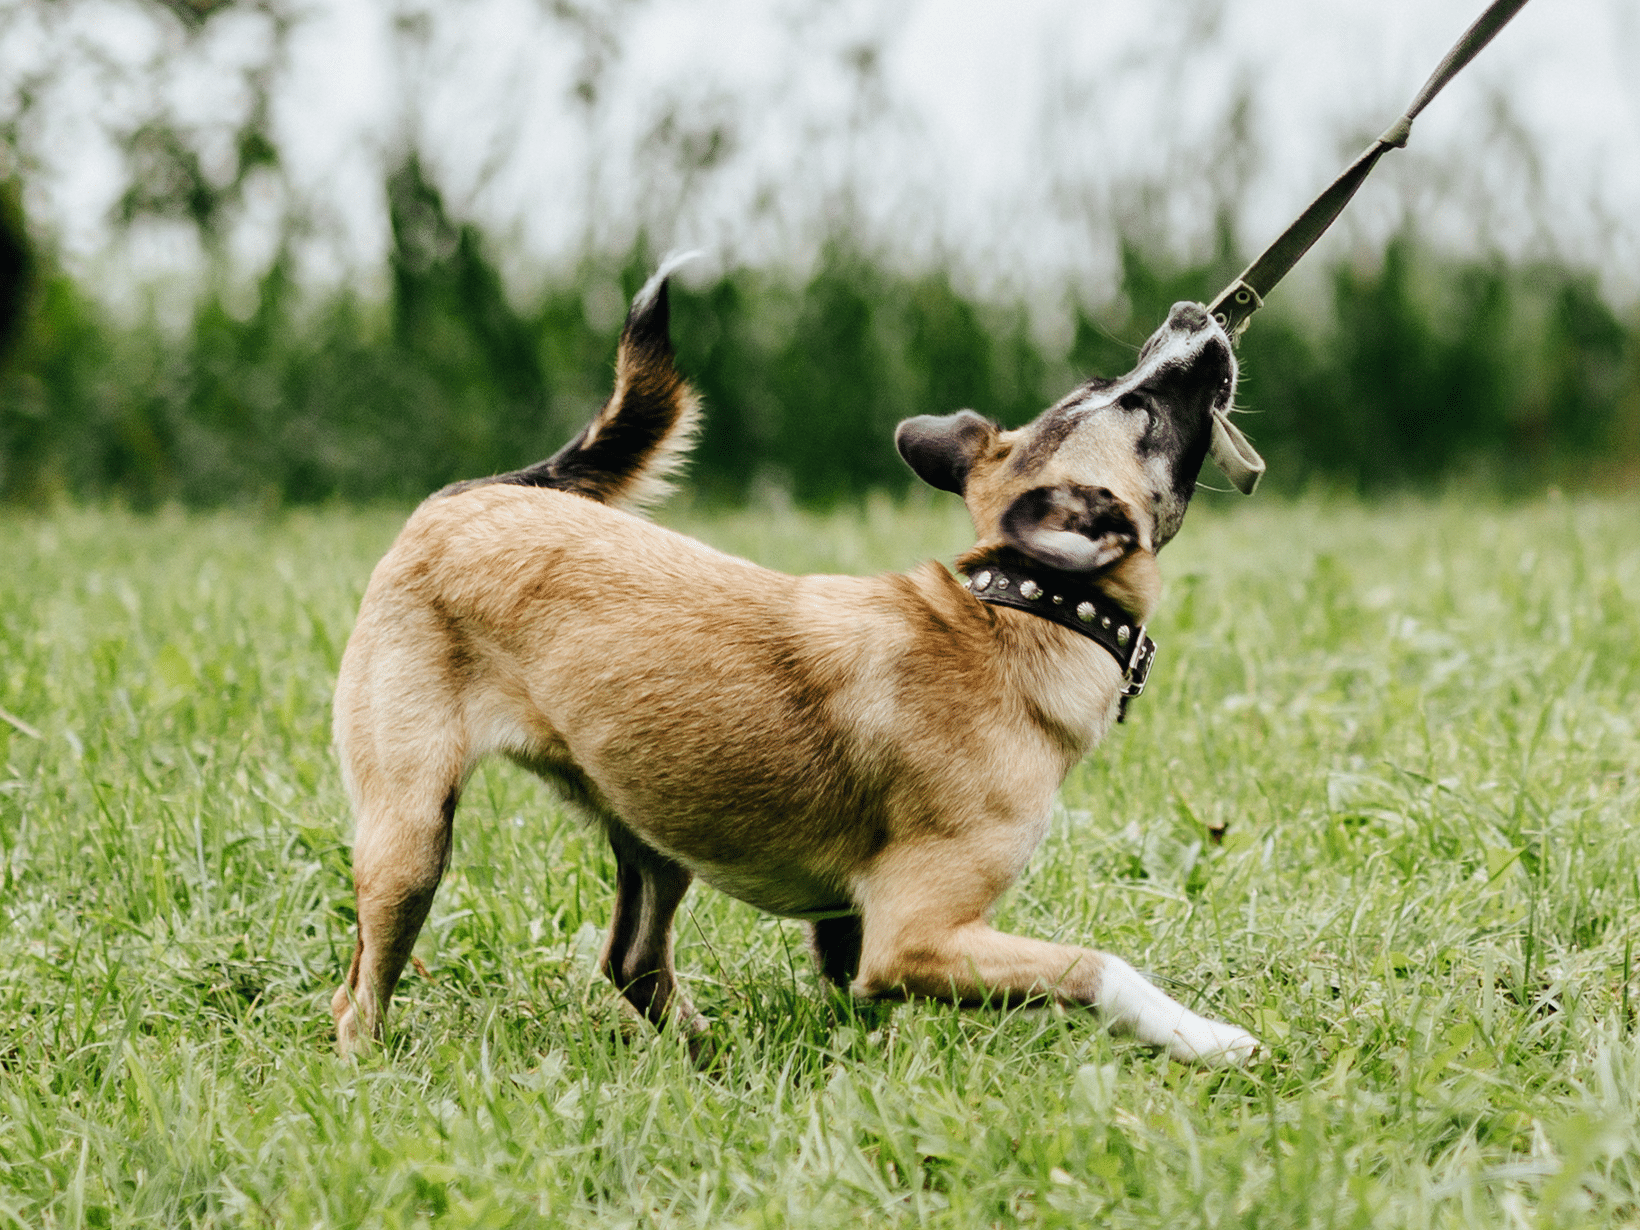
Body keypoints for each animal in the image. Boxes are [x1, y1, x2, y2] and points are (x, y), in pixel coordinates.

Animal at [329, 260, 1252, 1069]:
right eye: (1142, 408)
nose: (1193, 314)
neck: (1018, 616)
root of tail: (466, 498)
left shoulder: (854, 929)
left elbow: (855, 995)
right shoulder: (916, 935)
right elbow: (1097, 968)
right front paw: (1202, 1036)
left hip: (654, 822)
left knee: (633, 962)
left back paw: (709, 1057)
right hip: (411, 841)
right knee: (358, 998)